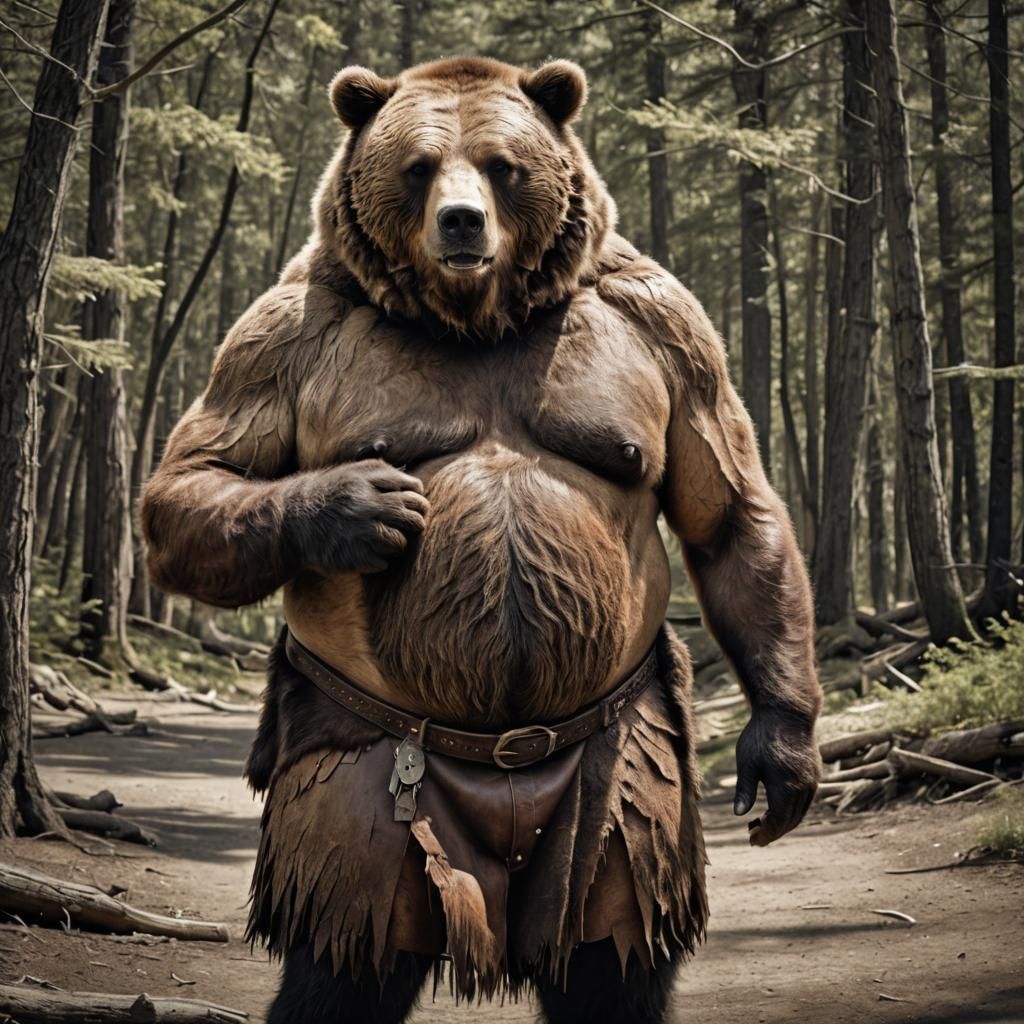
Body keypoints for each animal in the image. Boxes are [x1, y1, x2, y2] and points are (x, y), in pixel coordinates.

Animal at [140, 56, 823, 1024]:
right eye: (419, 165)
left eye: (502, 165)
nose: (461, 221)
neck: (477, 316)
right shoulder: (284, 334)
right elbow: (196, 480)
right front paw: (358, 504)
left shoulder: (667, 327)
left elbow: (726, 504)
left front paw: (783, 755)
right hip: (367, 806)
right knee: (343, 947)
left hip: (616, 798)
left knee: (612, 950)